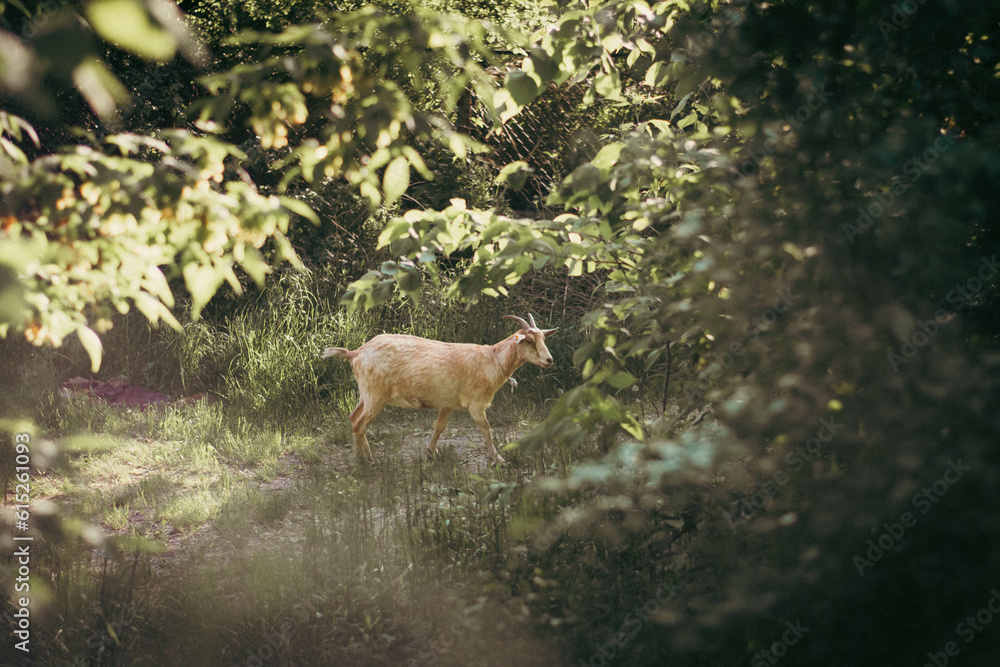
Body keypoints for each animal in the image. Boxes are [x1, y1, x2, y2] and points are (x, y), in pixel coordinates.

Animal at [321, 314, 556, 465]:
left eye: (543, 339)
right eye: (529, 341)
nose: (549, 360)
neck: (492, 360)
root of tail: (355, 353)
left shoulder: (448, 403)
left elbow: (440, 426)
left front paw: (430, 451)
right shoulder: (476, 404)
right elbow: (486, 429)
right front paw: (496, 458)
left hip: (366, 394)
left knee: (354, 418)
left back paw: (367, 456)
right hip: (375, 395)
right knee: (360, 424)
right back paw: (363, 462)